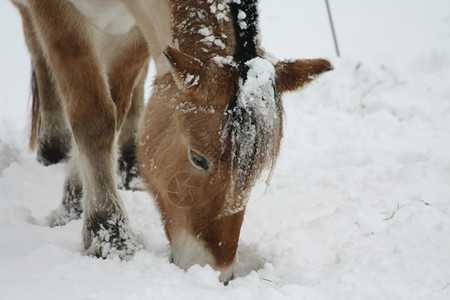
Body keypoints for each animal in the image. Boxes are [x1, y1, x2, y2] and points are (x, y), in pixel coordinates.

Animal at [12, 0, 332, 282]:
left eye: (255, 172)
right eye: (198, 158)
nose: (218, 273)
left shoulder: (136, 29)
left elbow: (116, 106)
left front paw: (78, 198)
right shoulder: (57, 15)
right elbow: (93, 120)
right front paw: (107, 234)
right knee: (38, 55)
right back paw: (52, 148)